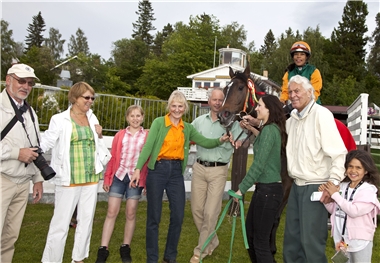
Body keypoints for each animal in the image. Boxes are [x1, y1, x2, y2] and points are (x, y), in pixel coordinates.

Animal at [215, 62, 292, 260]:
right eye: (225, 89)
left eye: (240, 88)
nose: (223, 115)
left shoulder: (287, 185)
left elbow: (275, 218)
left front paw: (271, 247)